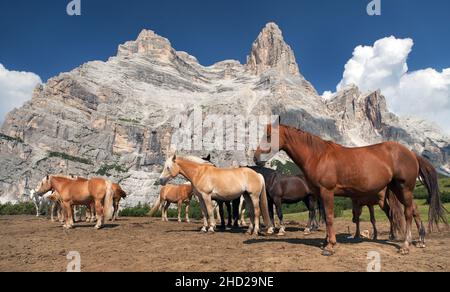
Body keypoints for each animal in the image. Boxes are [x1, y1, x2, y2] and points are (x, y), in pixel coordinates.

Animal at [255, 121, 448, 256]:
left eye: (269, 136)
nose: (256, 157)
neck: (318, 156)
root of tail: (411, 153)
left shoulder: (327, 192)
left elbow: (330, 218)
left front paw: (330, 246)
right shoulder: (319, 194)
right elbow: (326, 217)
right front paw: (326, 241)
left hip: (404, 188)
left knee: (408, 213)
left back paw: (406, 245)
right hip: (398, 189)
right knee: (413, 209)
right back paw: (420, 239)